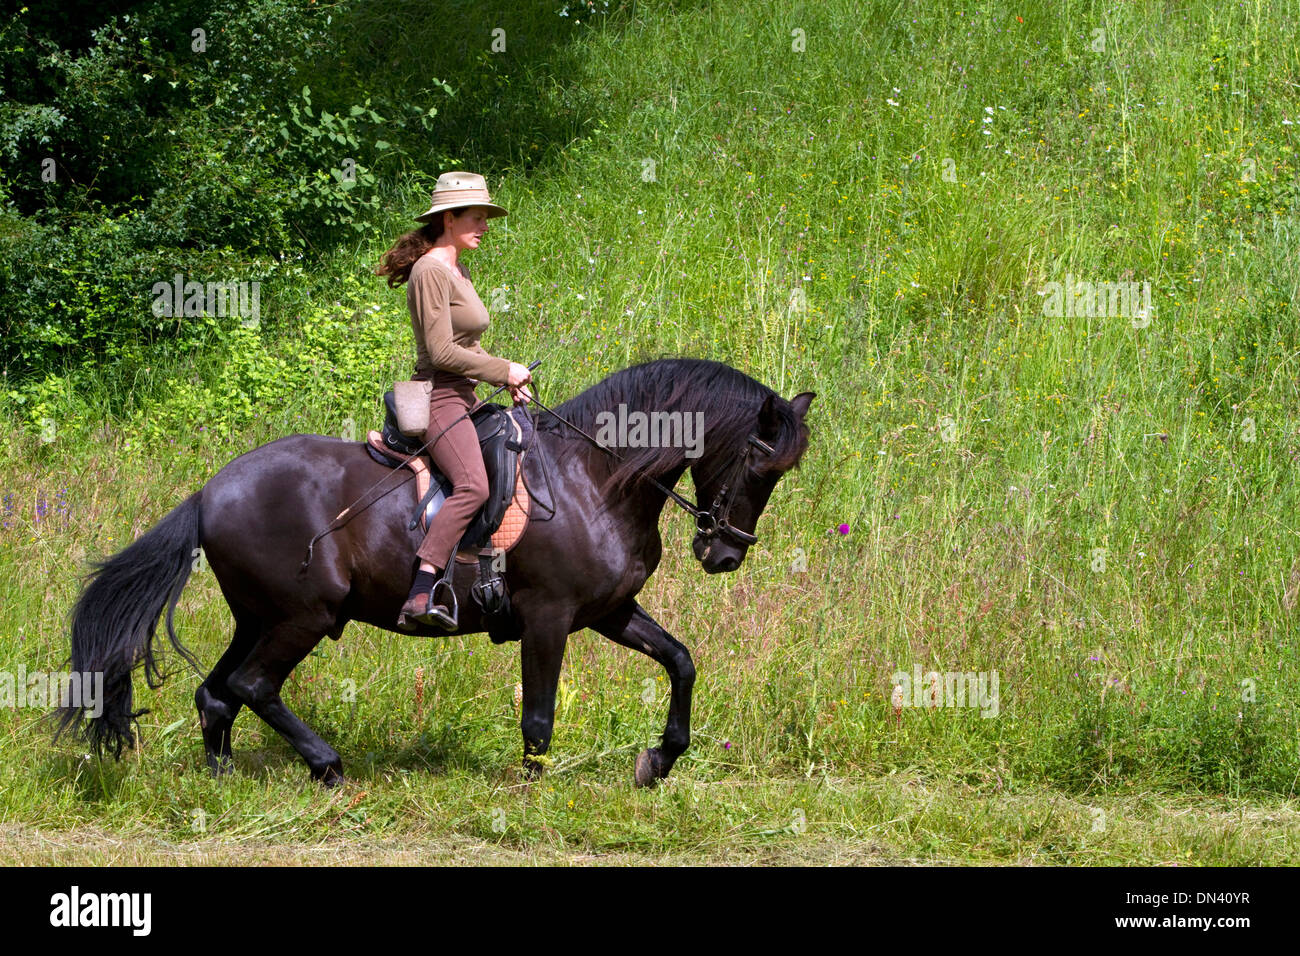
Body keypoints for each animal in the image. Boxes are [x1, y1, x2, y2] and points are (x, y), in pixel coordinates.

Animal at [58, 358, 811, 785]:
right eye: (758, 464)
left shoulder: (609, 611)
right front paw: (531, 788)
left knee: (217, 694)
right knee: (252, 685)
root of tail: (209, 492)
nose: (725, 554)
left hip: (260, 616)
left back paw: (221, 779)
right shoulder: (549, 617)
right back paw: (328, 766)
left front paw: (659, 761)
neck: (594, 478)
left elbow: (681, 661)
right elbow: (539, 715)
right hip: (304, 615)